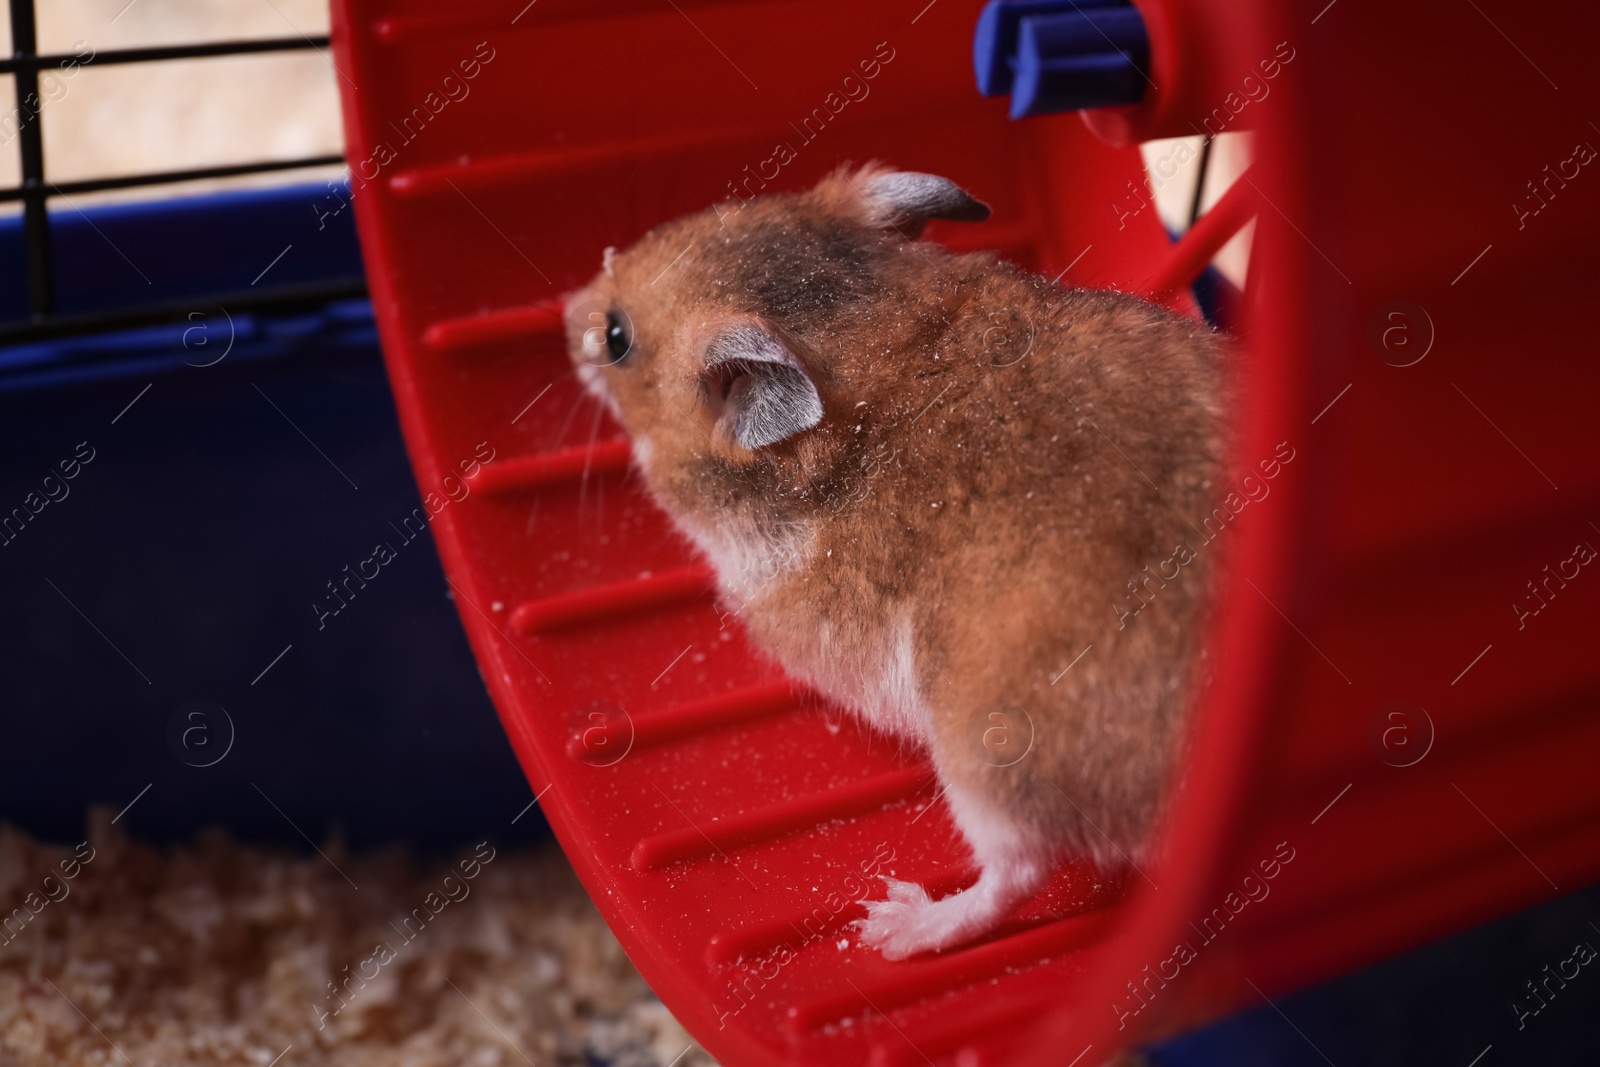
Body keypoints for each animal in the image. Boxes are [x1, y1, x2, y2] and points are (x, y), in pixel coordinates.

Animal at [563, 164, 1222, 959]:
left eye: (617, 337)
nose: (563, 312)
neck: (889, 342)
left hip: (986, 752)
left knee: (1017, 873)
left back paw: (892, 926)